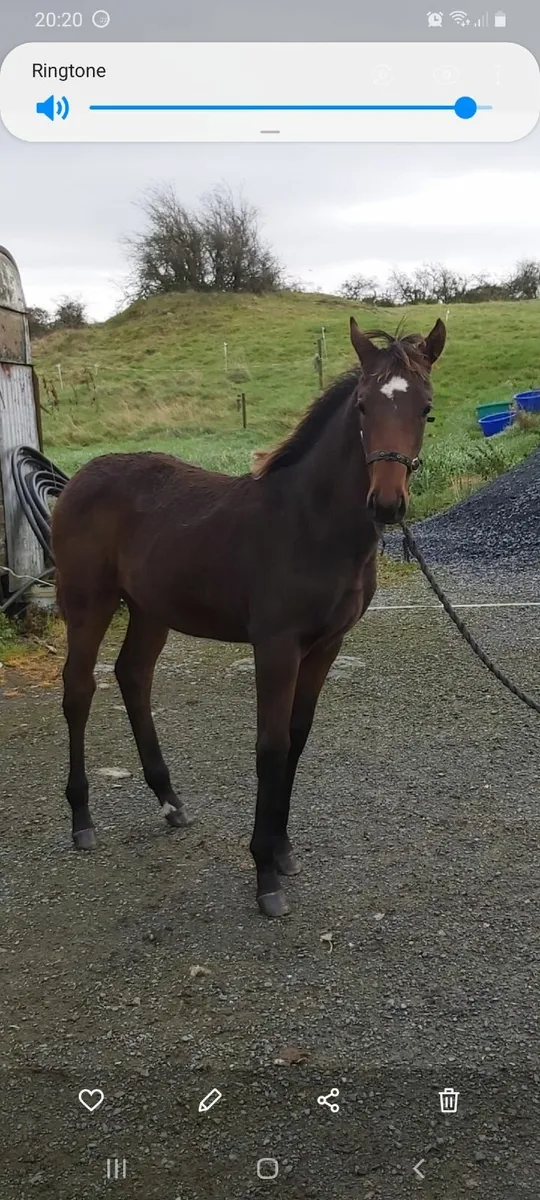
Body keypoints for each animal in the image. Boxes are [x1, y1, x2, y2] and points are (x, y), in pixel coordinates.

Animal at [52, 316, 446, 918]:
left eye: (424, 408)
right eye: (361, 406)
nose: (386, 503)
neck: (309, 523)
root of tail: (77, 478)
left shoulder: (325, 646)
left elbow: (298, 738)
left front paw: (283, 851)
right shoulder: (276, 645)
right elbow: (271, 745)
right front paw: (265, 874)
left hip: (150, 609)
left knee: (133, 676)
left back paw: (169, 801)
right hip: (88, 603)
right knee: (78, 690)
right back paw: (81, 819)